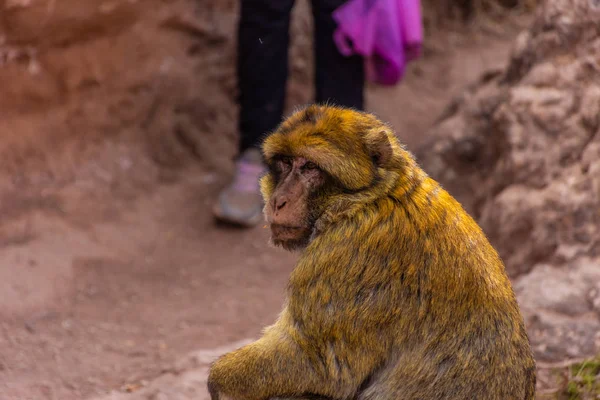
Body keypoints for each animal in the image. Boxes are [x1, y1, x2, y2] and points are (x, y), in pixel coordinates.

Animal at [206, 104, 536, 400]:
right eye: (285, 163)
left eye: (309, 167)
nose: (278, 201)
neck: (373, 198)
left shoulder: (345, 257)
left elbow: (321, 365)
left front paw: (218, 380)